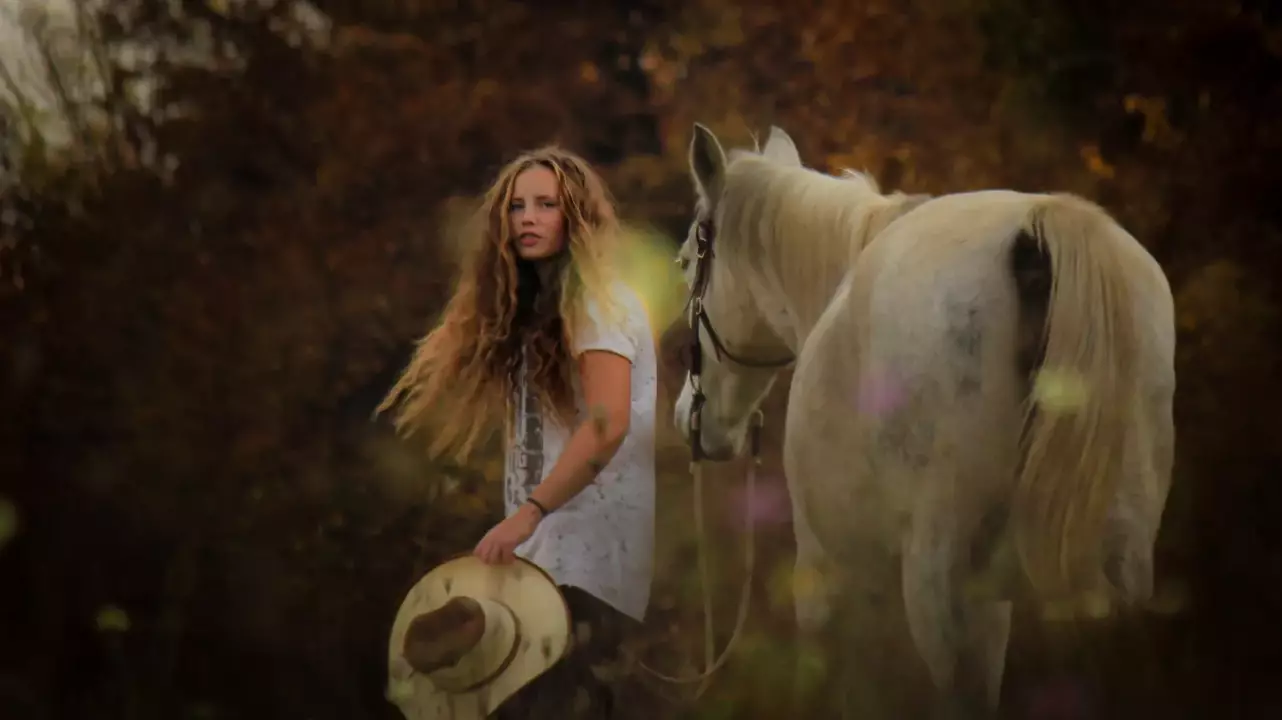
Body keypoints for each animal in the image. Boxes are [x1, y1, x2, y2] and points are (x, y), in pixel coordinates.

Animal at [676, 120, 1174, 712]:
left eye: (685, 264)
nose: (689, 416)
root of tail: (1042, 228)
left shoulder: (828, 575)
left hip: (942, 583)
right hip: (1117, 561)